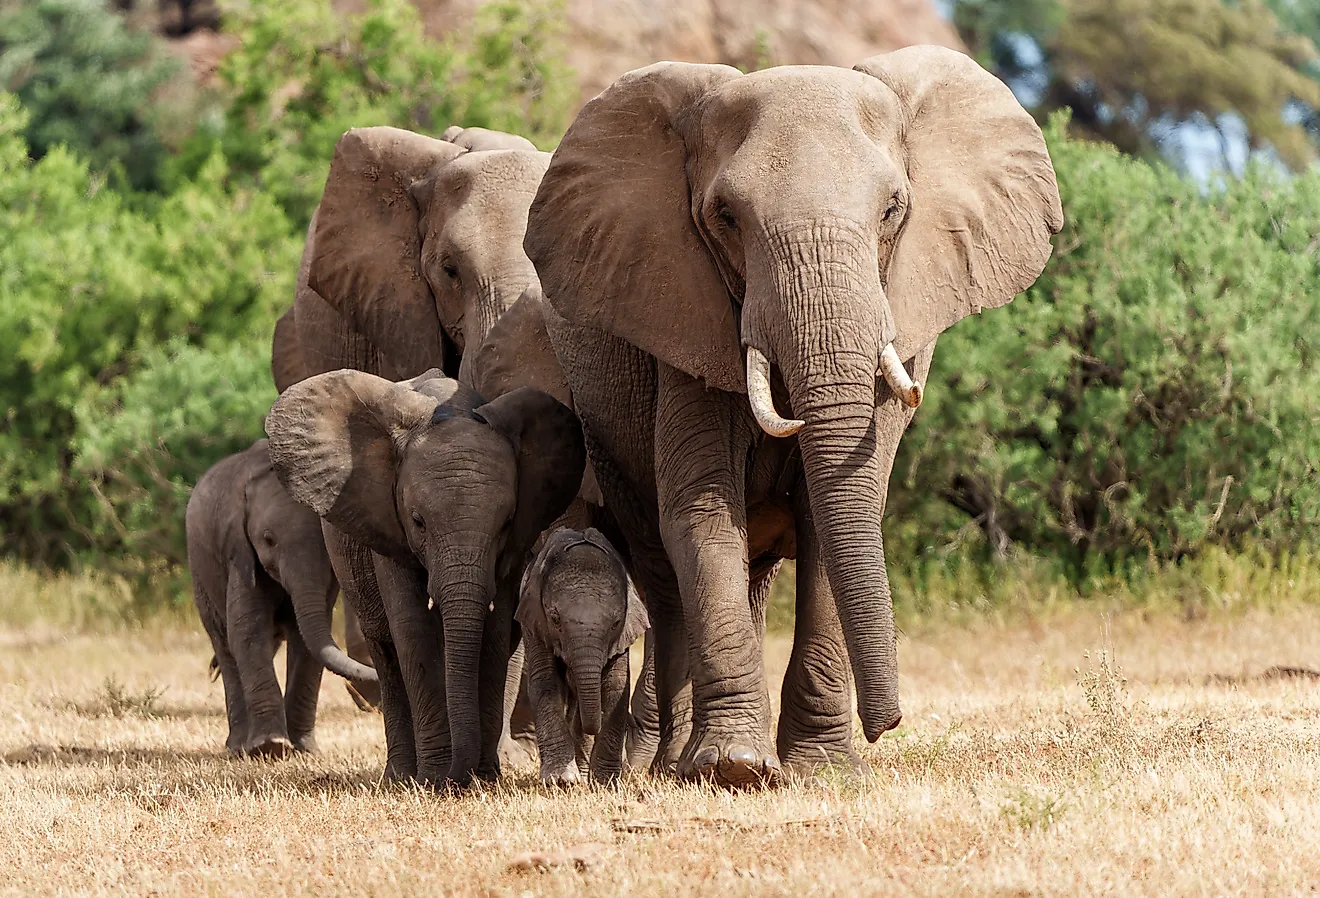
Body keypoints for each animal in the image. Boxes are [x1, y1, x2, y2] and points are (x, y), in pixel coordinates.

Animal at [186, 439, 376, 757]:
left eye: (326, 543)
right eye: (268, 540)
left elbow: (306, 639)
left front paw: (303, 749)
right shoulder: (238, 550)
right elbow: (247, 630)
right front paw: (270, 747)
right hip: (200, 570)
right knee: (224, 643)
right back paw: (238, 747)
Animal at [265, 369, 585, 786]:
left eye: (506, 523)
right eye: (418, 521)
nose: (460, 778)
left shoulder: (514, 548)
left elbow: (495, 632)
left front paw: (483, 779)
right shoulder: (388, 525)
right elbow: (413, 629)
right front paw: (434, 780)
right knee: (385, 648)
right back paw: (400, 777)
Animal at [516, 527, 649, 785]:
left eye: (615, 623)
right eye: (555, 619)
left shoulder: (622, 635)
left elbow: (616, 686)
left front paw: (605, 782)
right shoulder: (534, 622)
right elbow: (545, 682)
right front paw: (561, 781)